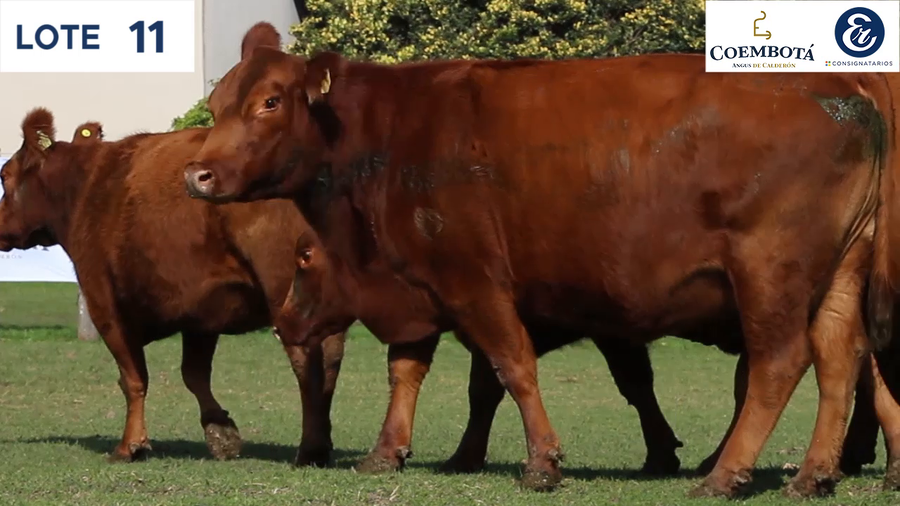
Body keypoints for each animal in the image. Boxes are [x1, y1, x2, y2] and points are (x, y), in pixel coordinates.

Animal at [0, 110, 346, 467]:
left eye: (4, 175)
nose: (0, 228)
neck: (87, 187)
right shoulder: (203, 310)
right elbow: (193, 373)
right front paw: (221, 433)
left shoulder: (105, 305)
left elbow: (133, 378)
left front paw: (130, 445)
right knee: (331, 357)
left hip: (287, 289)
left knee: (306, 357)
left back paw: (310, 448)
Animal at [183, 23, 899, 498]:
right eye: (217, 105)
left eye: (270, 102)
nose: (197, 174)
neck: (388, 137)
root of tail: (844, 83)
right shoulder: (419, 284)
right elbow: (407, 372)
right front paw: (388, 452)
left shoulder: (475, 280)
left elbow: (512, 366)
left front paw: (541, 462)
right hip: (841, 273)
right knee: (841, 358)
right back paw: (812, 474)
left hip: (768, 271)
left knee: (780, 362)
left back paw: (726, 473)